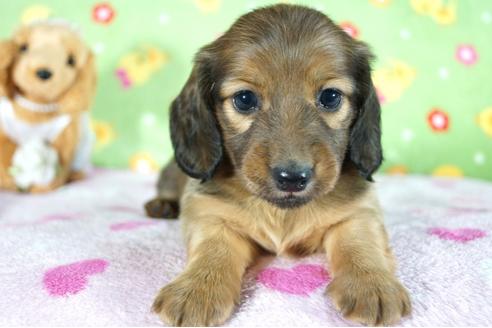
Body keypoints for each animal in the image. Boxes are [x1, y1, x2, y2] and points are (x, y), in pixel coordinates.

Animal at [146, 3, 412, 326]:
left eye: (330, 97)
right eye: (244, 98)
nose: (293, 177)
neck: (283, 212)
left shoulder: (359, 212)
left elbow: (360, 242)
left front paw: (371, 284)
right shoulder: (209, 214)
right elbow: (213, 249)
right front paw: (198, 288)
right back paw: (161, 205)